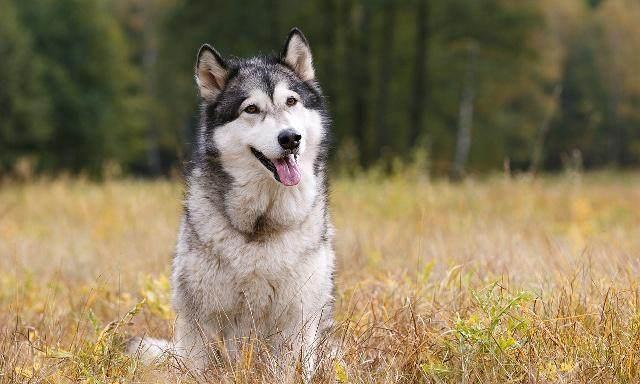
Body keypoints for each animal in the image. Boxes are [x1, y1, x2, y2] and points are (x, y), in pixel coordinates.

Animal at [126, 28, 336, 380]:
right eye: (251, 109)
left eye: (291, 101)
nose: (290, 138)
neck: (262, 226)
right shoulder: (202, 322)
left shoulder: (298, 319)